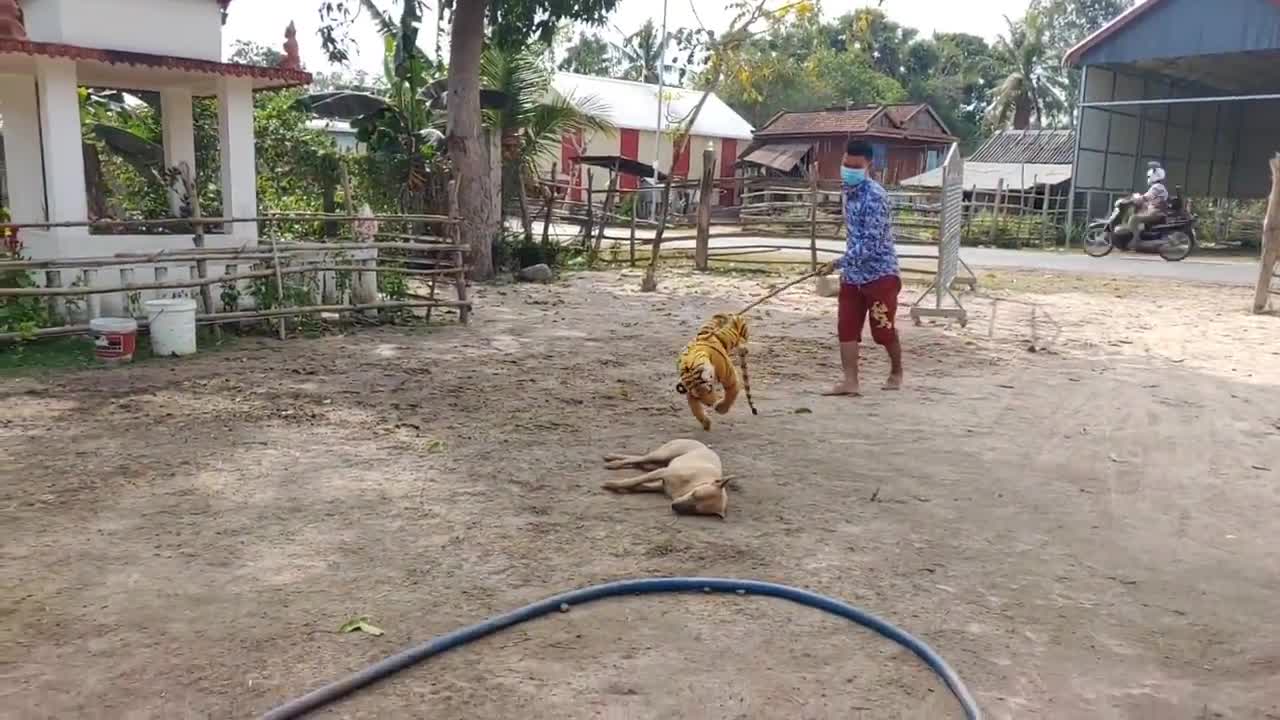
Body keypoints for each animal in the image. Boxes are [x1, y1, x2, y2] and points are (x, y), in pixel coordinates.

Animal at [599, 438, 732, 515]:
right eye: (694, 494)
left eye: (695, 510)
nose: (674, 506)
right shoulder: (663, 472)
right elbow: (634, 481)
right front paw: (612, 484)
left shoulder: (661, 485)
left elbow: (641, 486)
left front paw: (623, 489)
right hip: (662, 455)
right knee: (639, 458)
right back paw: (613, 460)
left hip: (658, 462)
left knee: (642, 463)